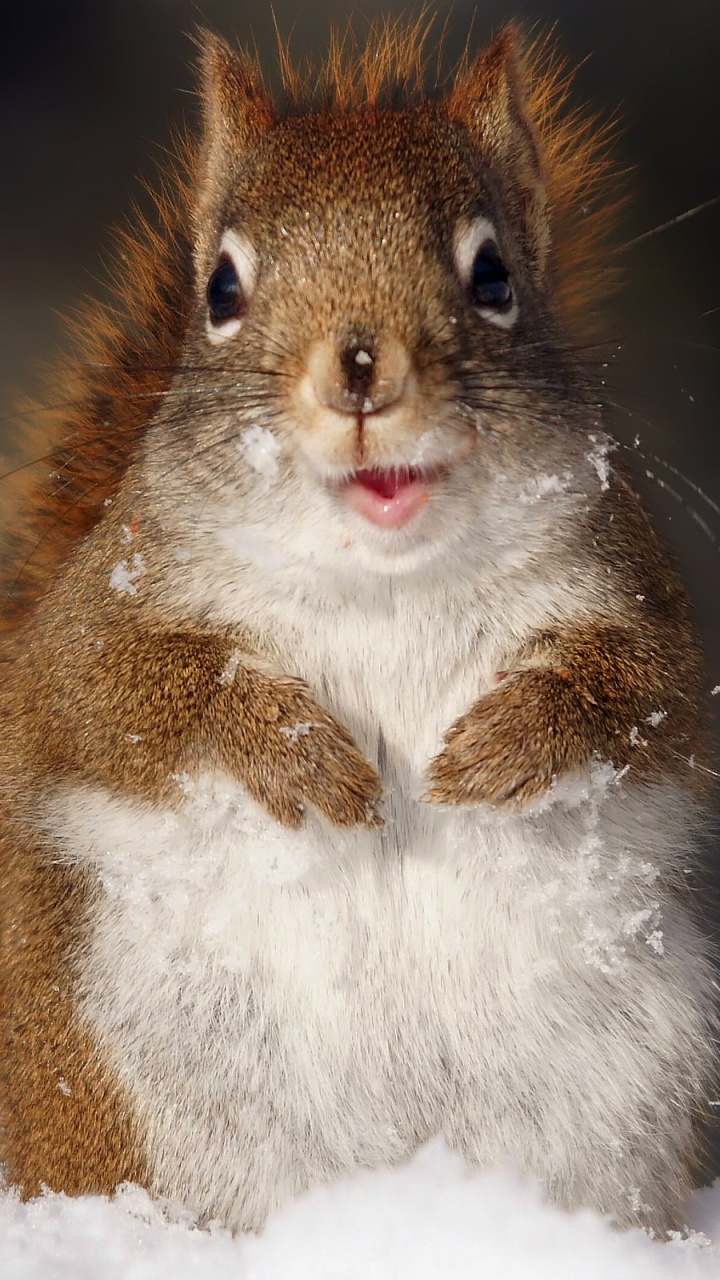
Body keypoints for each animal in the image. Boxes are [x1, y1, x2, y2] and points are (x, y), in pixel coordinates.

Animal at [0, 17, 716, 1236]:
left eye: (494, 275)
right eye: (221, 288)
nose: (363, 370)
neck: (382, 580)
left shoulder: (640, 599)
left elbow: (637, 694)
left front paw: (508, 740)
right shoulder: (93, 623)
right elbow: (125, 698)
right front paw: (296, 752)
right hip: (109, 1081)